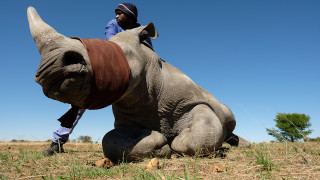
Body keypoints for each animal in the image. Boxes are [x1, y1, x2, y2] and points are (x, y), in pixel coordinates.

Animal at [27, 6, 250, 162]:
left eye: (118, 55)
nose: (49, 70)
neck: (151, 81)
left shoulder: (195, 101)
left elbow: (203, 131)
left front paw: (176, 143)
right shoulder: (128, 117)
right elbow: (110, 141)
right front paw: (160, 144)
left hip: (218, 103)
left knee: (227, 117)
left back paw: (240, 144)